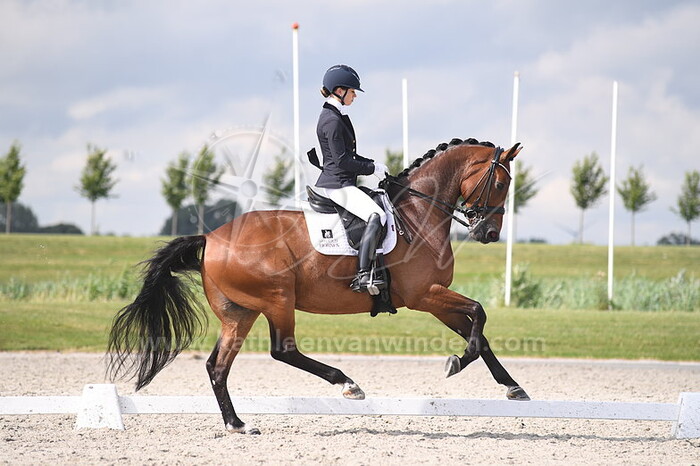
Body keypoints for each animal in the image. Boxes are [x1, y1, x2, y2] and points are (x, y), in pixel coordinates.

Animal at [107, 137, 528, 435]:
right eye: (501, 182)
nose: (489, 233)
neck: (418, 214)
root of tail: (210, 238)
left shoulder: (436, 299)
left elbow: (479, 333)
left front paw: (513, 388)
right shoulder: (425, 296)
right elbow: (479, 315)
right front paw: (456, 363)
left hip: (239, 312)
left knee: (218, 367)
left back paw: (237, 424)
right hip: (277, 299)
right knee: (283, 350)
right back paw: (347, 384)